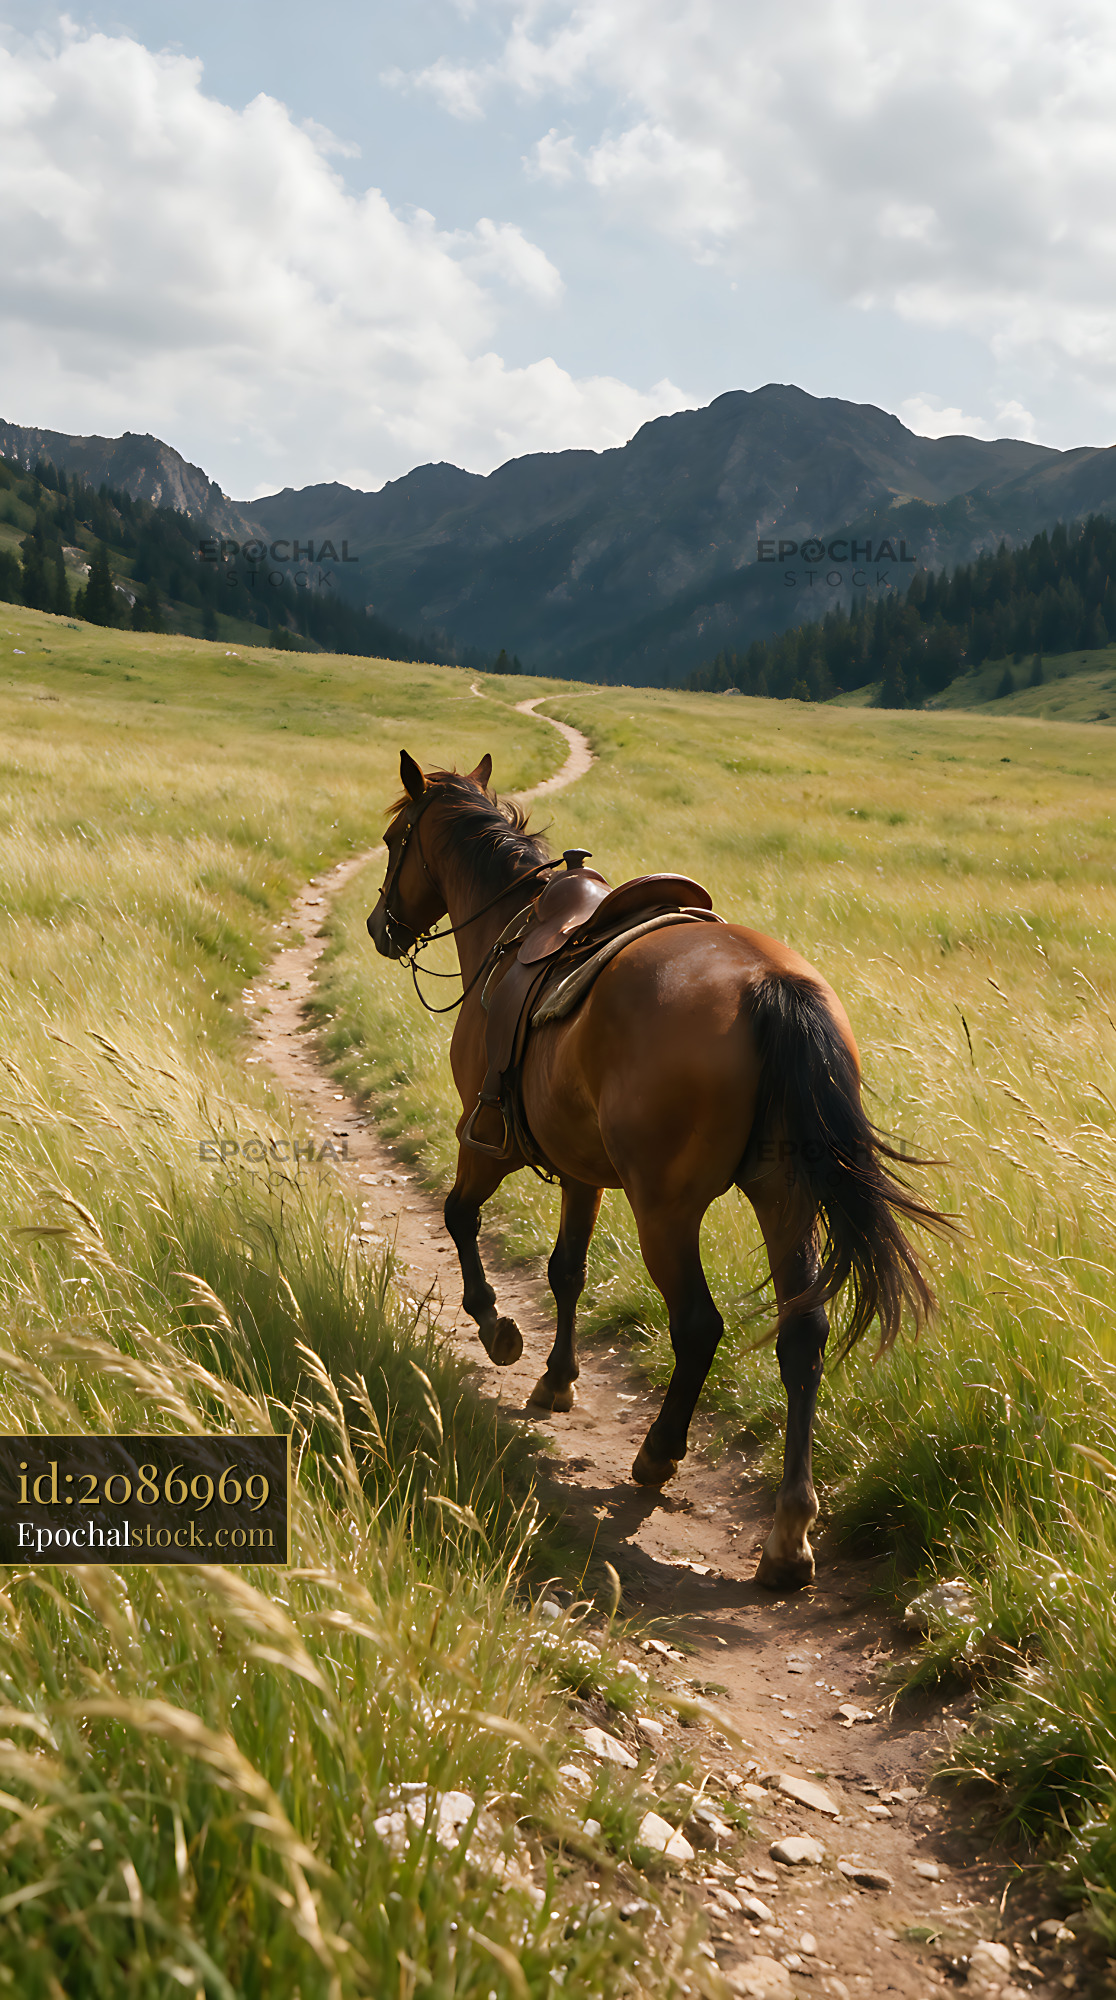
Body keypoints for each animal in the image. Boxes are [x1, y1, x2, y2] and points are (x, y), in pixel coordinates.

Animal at [367, 749, 950, 1589]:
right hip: (784, 1197)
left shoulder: (486, 1144)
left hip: (667, 1210)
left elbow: (460, 1218)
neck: (513, 936)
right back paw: (789, 1533)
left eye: (393, 841)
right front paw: (557, 1378)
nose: (380, 926)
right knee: (802, 1334)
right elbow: (566, 1271)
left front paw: (498, 1330)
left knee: (699, 1326)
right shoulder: (580, 1169)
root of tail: (773, 988)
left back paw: (659, 1455)